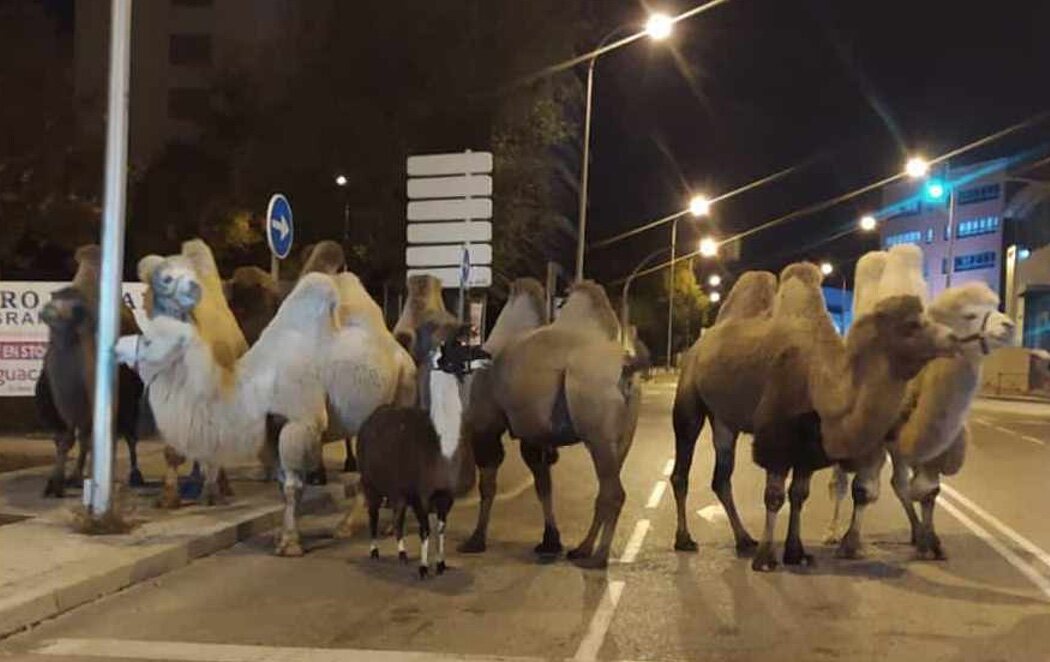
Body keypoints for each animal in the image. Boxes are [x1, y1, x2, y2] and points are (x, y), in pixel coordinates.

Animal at [35, 247, 143, 498]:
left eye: (75, 309)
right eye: (53, 299)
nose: (47, 311)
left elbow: (100, 436)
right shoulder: (57, 405)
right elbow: (65, 438)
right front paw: (55, 483)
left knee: (126, 434)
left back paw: (133, 475)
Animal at [457, 279, 638, 571]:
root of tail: (628, 369)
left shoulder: (486, 425)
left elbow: (488, 485)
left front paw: (475, 540)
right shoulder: (535, 434)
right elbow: (543, 482)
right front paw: (550, 542)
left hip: (597, 430)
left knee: (614, 492)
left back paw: (598, 558)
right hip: (622, 439)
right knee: (605, 489)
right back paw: (582, 549)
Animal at [672, 256, 961, 571]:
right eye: (911, 325)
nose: (954, 337)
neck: (822, 382)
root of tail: (697, 346)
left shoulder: (809, 443)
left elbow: (799, 495)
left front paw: (795, 552)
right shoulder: (777, 438)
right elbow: (774, 497)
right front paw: (766, 558)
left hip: (724, 418)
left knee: (721, 477)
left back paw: (744, 539)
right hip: (689, 397)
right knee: (682, 468)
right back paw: (685, 540)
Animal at [823, 279, 1012, 559]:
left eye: (996, 306)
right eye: (969, 315)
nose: (1009, 325)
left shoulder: (933, 449)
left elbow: (926, 491)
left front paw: (931, 541)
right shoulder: (873, 441)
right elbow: (865, 490)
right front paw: (849, 543)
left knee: (899, 483)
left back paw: (915, 532)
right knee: (840, 482)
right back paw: (832, 532)